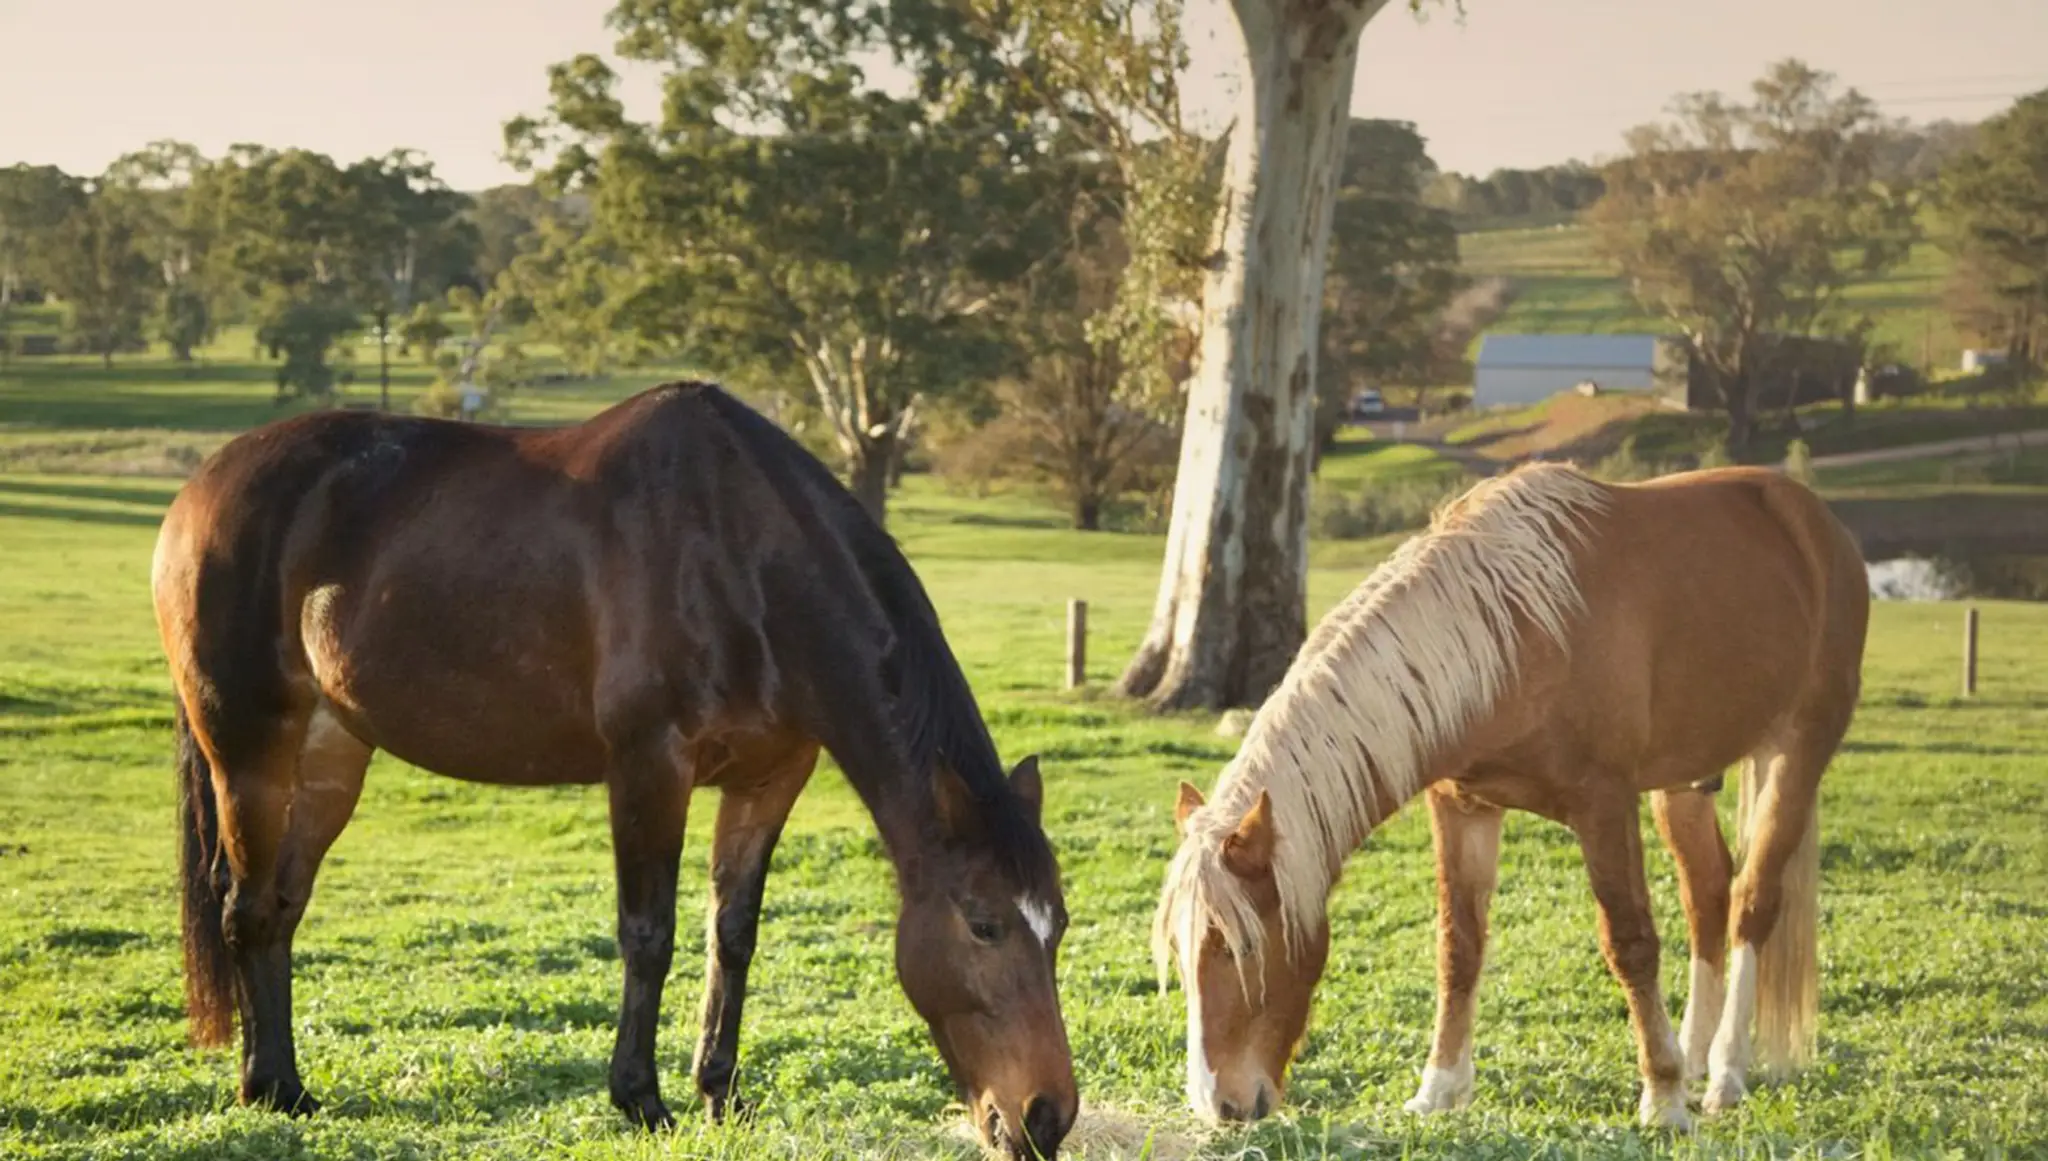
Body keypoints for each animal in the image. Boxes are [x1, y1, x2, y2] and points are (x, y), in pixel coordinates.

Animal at [151, 381, 1077, 1159]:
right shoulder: (648, 767)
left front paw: (720, 1092)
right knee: (244, 908)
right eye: (983, 924)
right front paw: (641, 1098)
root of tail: (200, 492)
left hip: (330, 756)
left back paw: (286, 1083)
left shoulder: (768, 779)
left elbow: (732, 932)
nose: (1046, 1115)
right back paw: (269, 1087)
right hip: (249, 751)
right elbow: (649, 933)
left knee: (281, 905)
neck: (741, 557)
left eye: (1058, 924)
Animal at [1153, 463, 1867, 1129]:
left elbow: (1631, 942)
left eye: (1241, 948)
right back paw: (1693, 1054)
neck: (1514, 628)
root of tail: (1817, 522)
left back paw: (1722, 1075)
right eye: (1184, 956)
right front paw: (1438, 1089)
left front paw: (1662, 1098)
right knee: (1708, 894)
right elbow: (1458, 946)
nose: (1221, 1105)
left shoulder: (1604, 806)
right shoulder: (1462, 808)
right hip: (1686, 781)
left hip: (1795, 753)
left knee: (1752, 901)